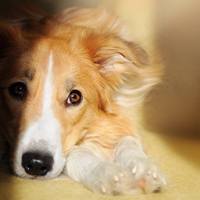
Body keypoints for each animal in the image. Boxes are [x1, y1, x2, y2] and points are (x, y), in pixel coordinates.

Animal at [0, 5, 166, 195]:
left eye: (74, 97)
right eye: (18, 89)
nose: (35, 164)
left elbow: (127, 139)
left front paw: (142, 168)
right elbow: (76, 152)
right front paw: (106, 172)